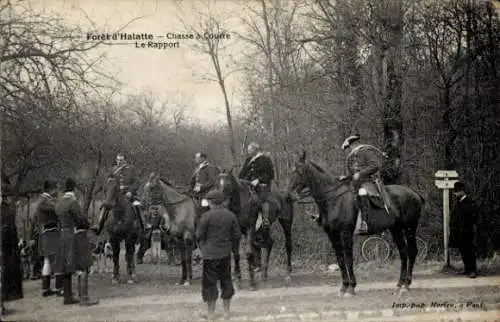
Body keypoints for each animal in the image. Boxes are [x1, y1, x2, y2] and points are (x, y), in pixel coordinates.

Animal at [288, 151, 424, 296]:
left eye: (299, 171)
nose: (289, 194)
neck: (334, 199)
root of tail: (414, 193)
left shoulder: (346, 233)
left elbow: (348, 259)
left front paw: (351, 287)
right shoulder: (332, 235)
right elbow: (340, 259)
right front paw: (344, 286)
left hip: (410, 227)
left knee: (411, 251)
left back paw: (406, 284)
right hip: (396, 229)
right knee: (403, 252)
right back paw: (400, 284)